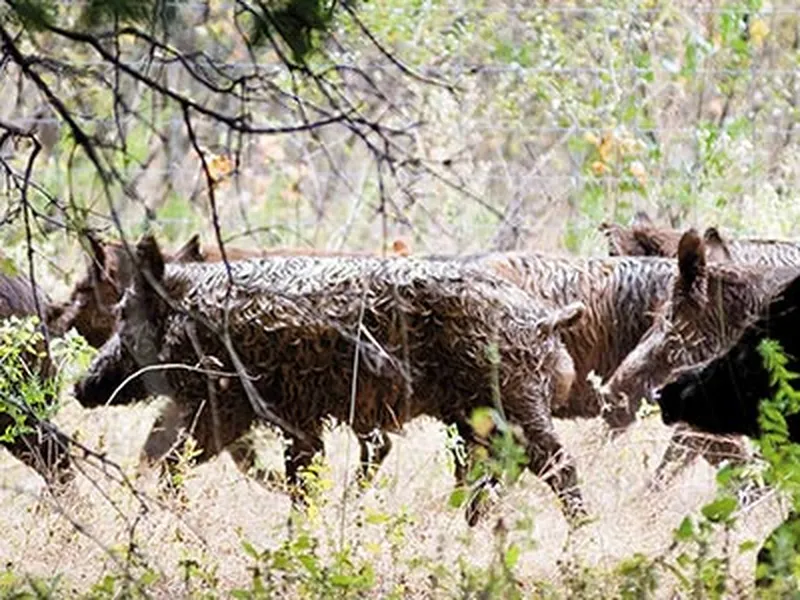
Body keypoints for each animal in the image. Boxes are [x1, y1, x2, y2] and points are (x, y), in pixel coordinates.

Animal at [73, 237, 588, 524]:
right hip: (473, 419)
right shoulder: (284, 418)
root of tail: (547, 321)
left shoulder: (236, 408)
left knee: (558, 465)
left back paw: (578, 535)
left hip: (516, 405)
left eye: (125, 316)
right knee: (486, 474)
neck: (194, 316)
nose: (81, 387)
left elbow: (181, 461)